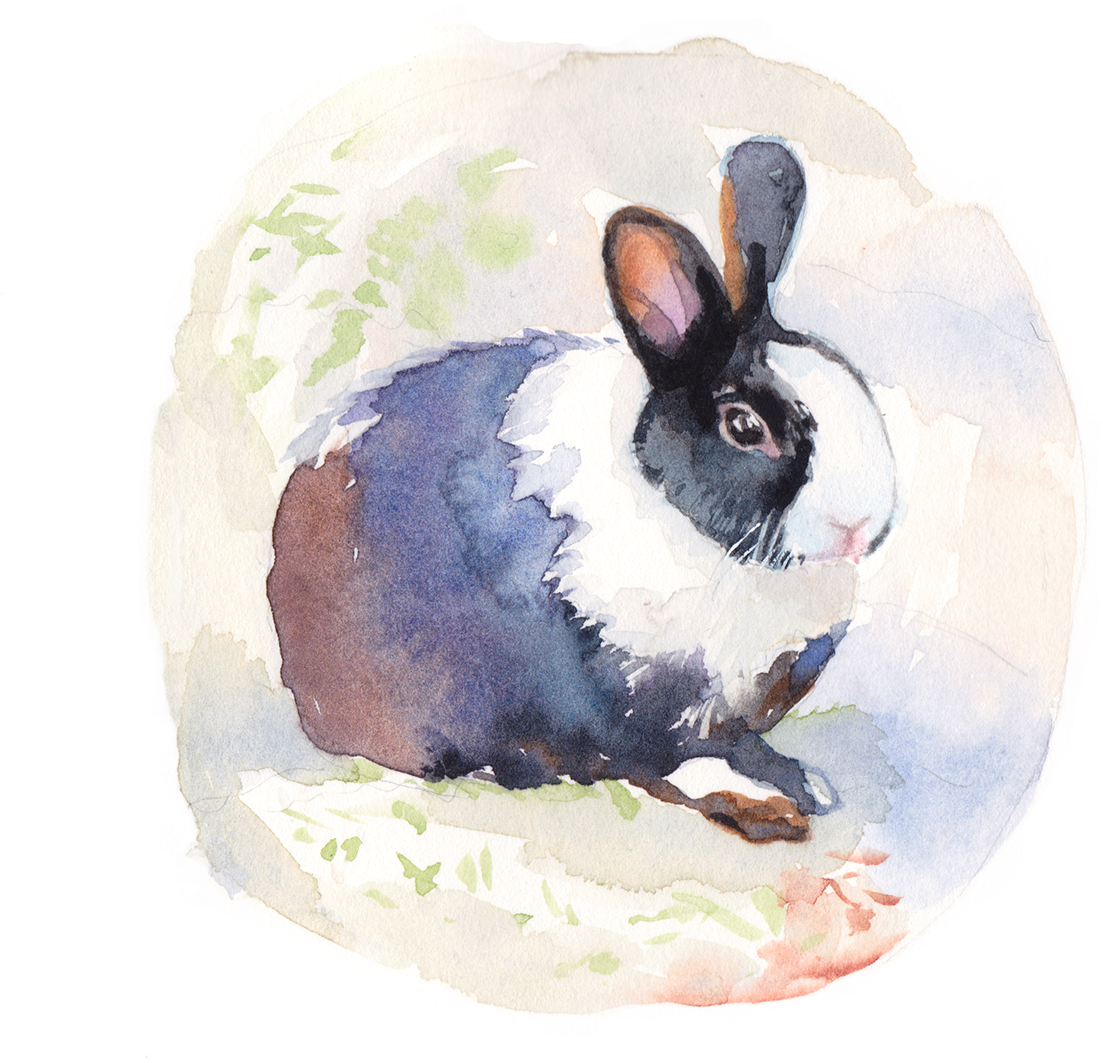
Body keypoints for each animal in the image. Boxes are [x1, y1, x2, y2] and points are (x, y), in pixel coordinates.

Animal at [267, 139, 897, 843]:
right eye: (744, 427)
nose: (860, 527)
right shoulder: (618, 703)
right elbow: (674, 763)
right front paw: (768, 804)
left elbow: (736, 744)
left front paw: (805, 782)